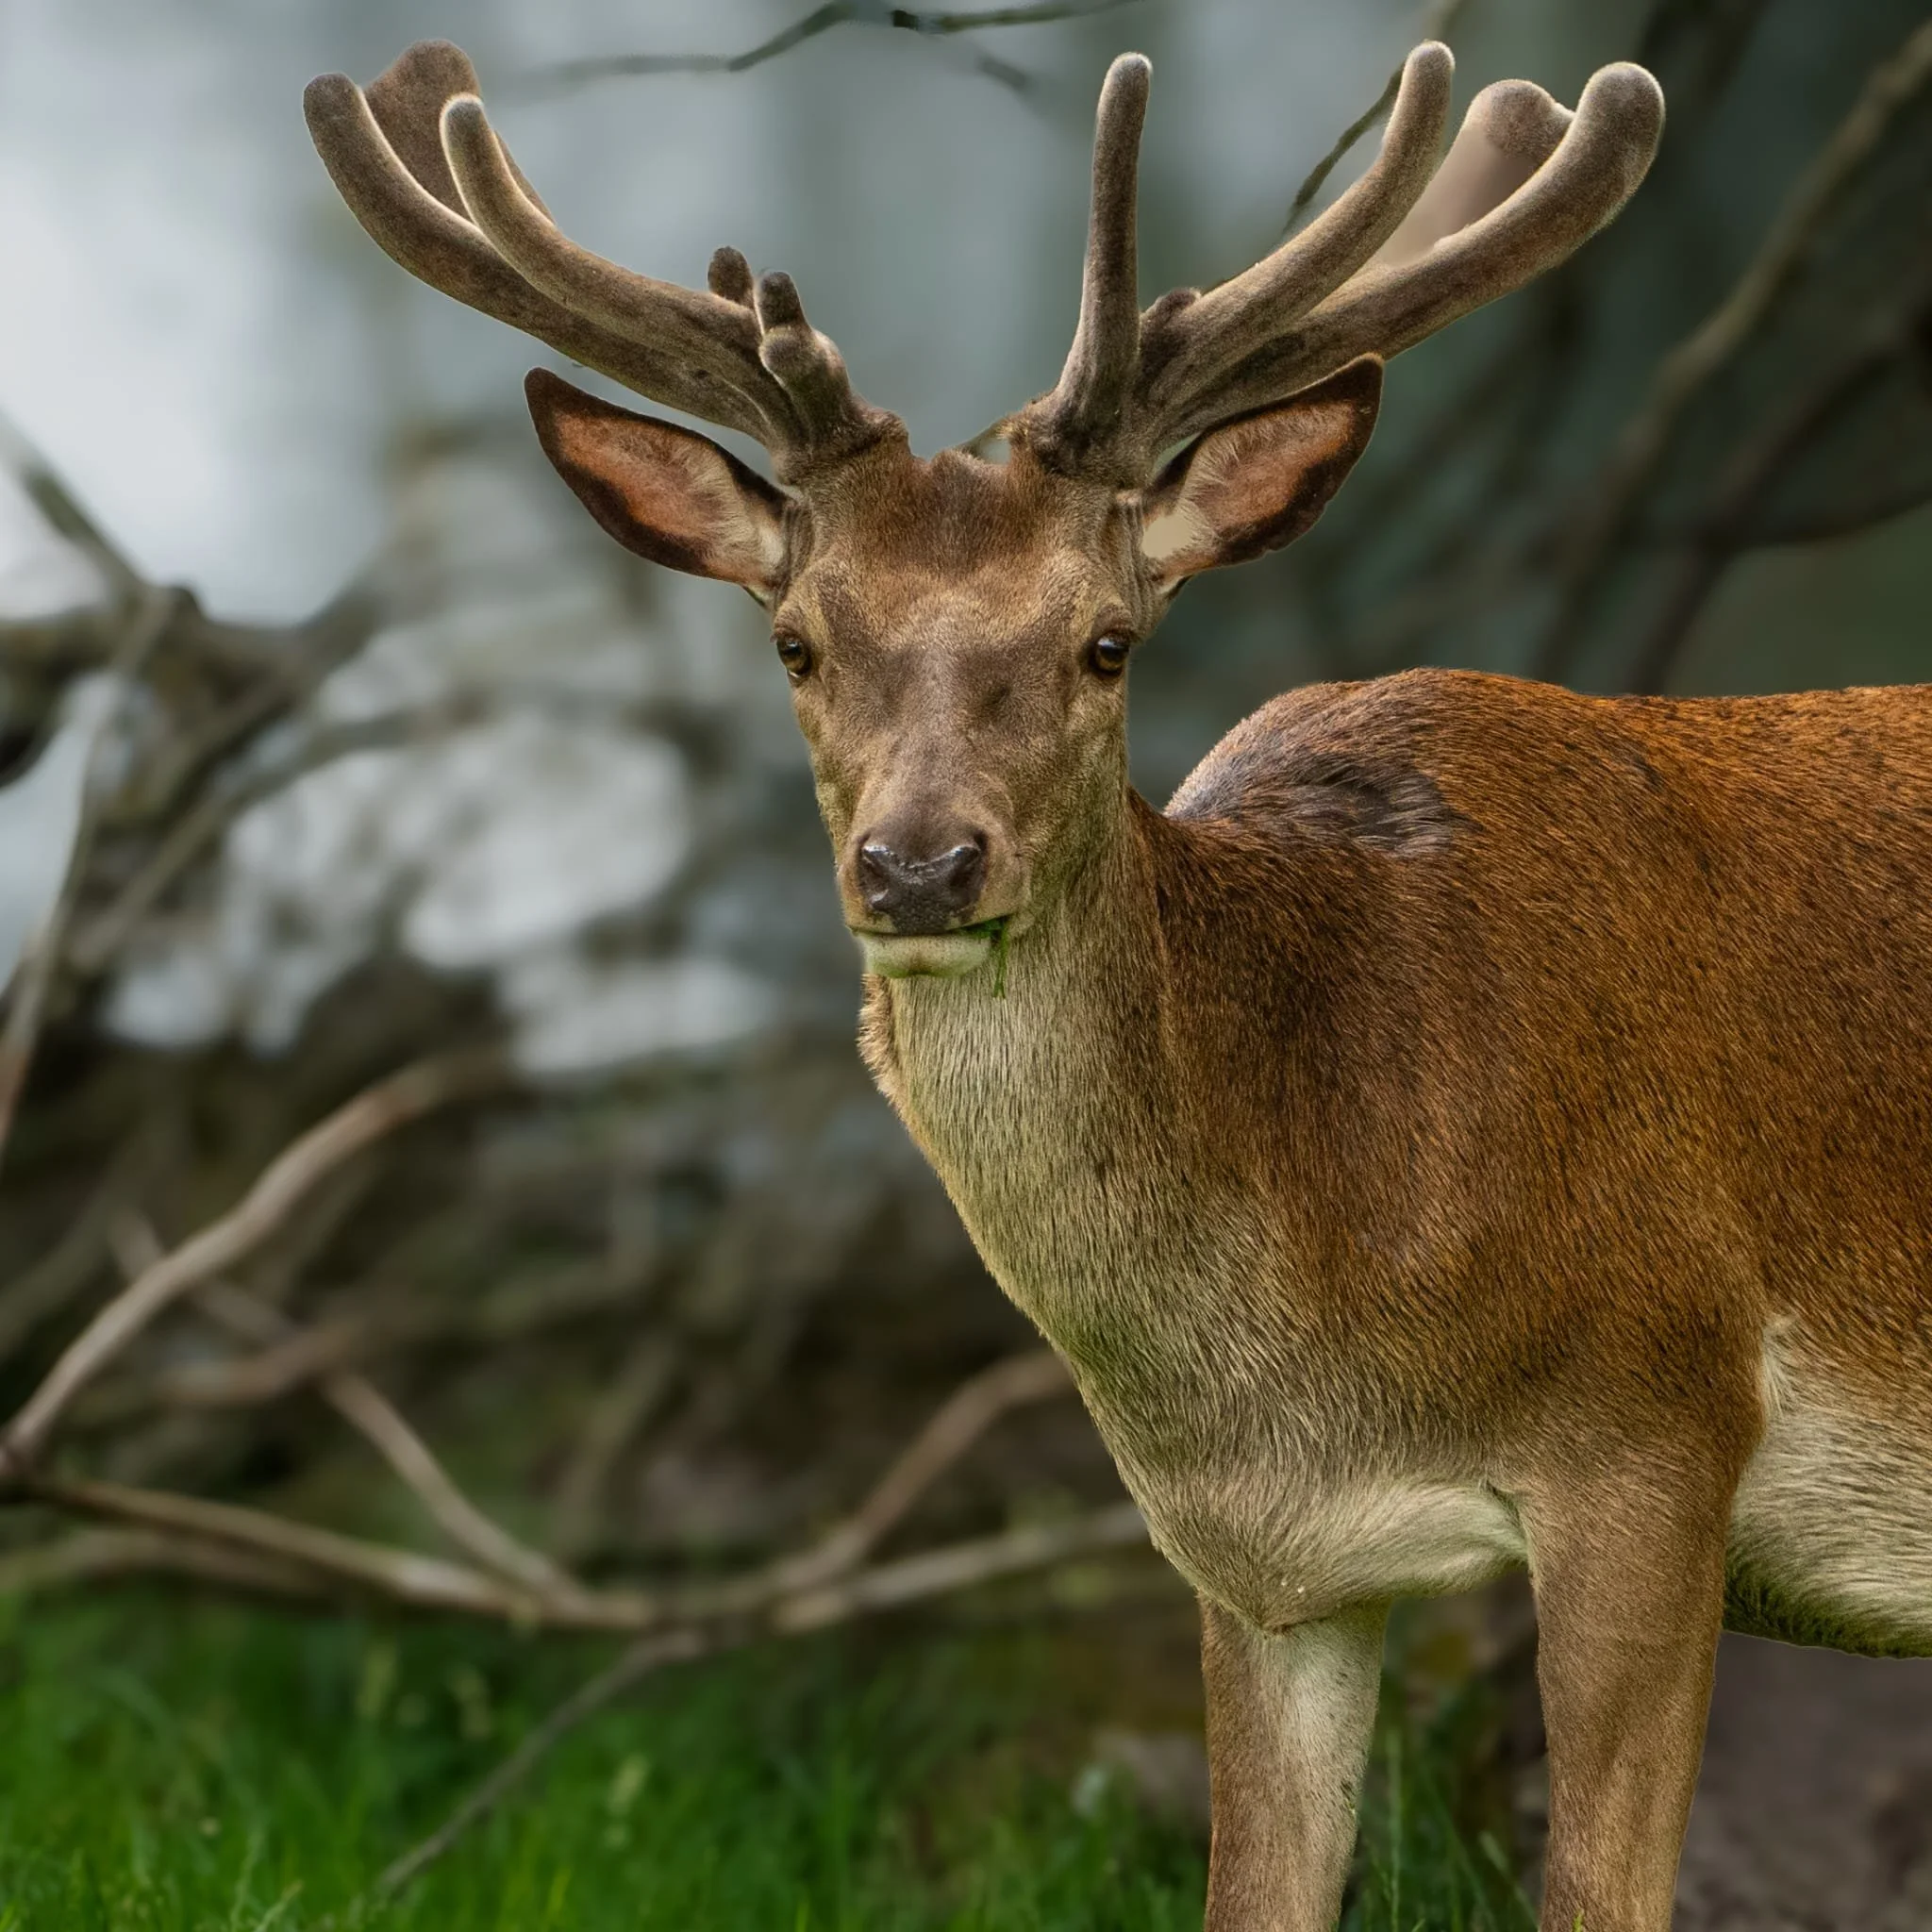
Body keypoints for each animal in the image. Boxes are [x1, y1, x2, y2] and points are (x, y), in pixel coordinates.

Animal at [305, 36, 1932, 1931]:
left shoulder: (1657, 1419)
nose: (919, 866)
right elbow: (1254, 1892)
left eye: (1105, 641)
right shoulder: (1261, 1559)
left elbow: (1599, 1892)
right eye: (796, 642)